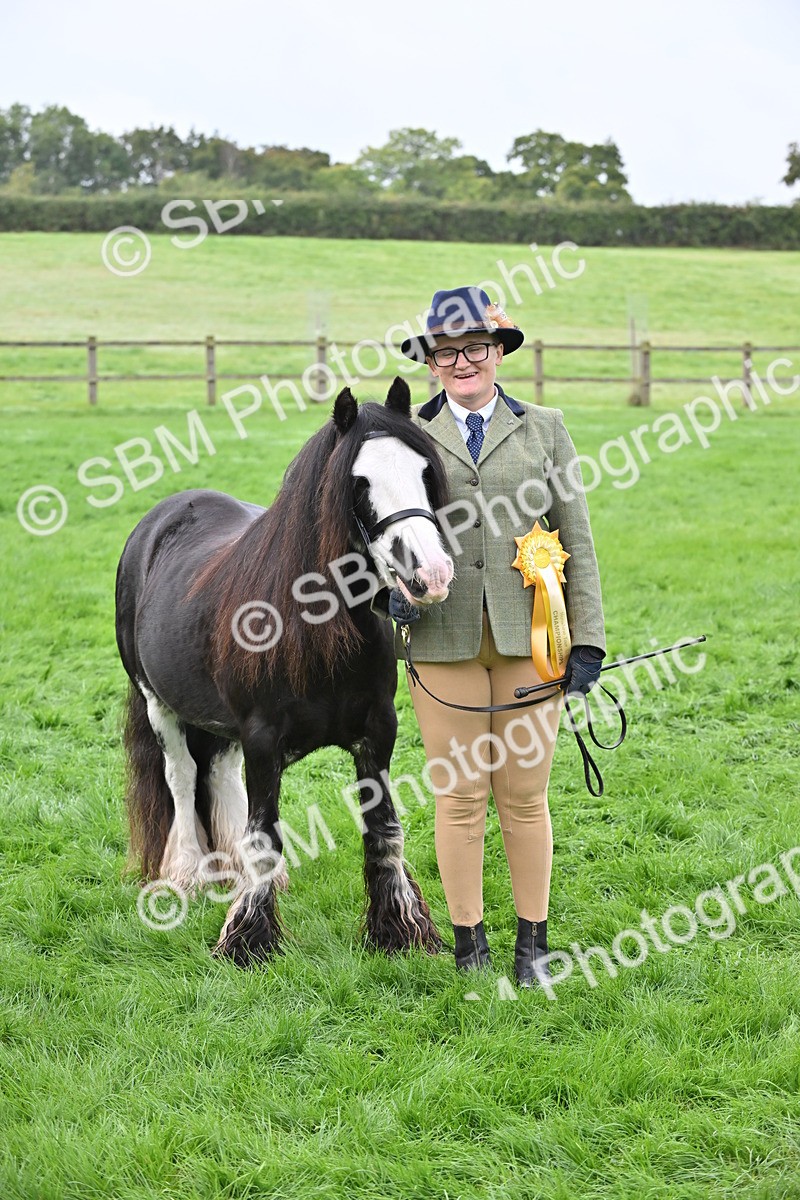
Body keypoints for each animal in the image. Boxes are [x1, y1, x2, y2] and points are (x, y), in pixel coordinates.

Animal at [116, 378, 454, 966]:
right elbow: (264, 836)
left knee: (218, 776)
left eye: (423, 472)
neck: (315, 629)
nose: (430, 574)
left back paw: (228, 872)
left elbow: (382, 830)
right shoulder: (262, 739)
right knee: (182, 777)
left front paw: (398, 931)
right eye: (359, 482)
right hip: (160, 705)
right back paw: (186, 875)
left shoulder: (377, 735)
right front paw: (249, 940)